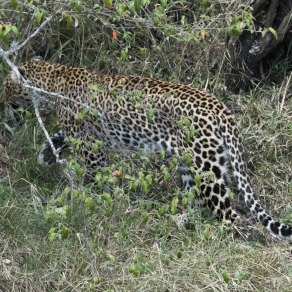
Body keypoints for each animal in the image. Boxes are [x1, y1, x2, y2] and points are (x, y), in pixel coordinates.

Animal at [2, 58, 292, 241]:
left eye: (5, 85)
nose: (1, 100)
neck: (52, 82)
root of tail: (220, 107)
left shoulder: (91, 148)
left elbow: (96, 178)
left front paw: (100, 203)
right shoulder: (80, 136)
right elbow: (58, 137)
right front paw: (46, 154)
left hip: (206, 168)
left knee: (229, 214)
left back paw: (222, 236)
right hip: (191, 163)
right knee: (196, 200)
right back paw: (182, 221)